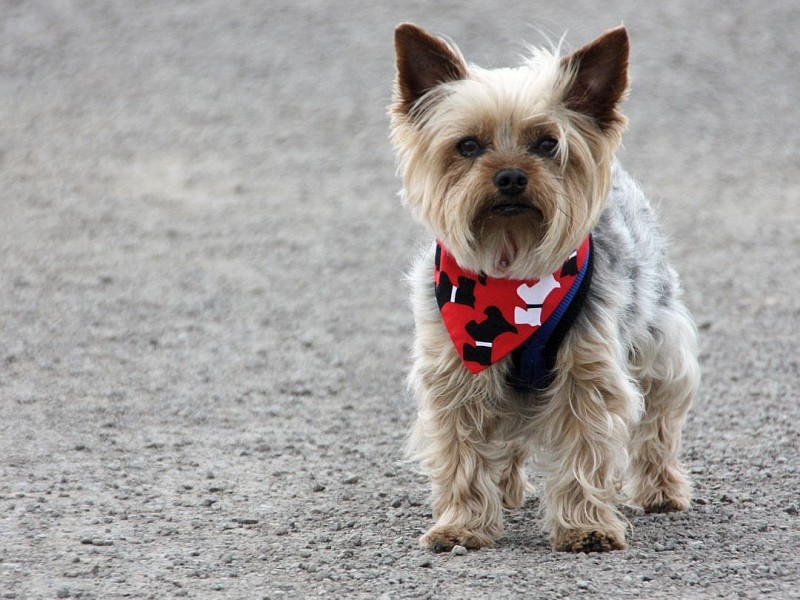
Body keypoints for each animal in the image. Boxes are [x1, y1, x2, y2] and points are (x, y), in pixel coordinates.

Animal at [390, 24, 696, 556]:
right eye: (467, 145)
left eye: (548, 143)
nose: (511, 175)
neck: (510, 265)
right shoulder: (459, 367)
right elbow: (462, 452)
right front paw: (462, 525)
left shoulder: (588, 368)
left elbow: (586, 446)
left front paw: (585, 527)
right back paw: (506, 488)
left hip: (659, 341)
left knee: (659, 420)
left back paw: (662, 490)